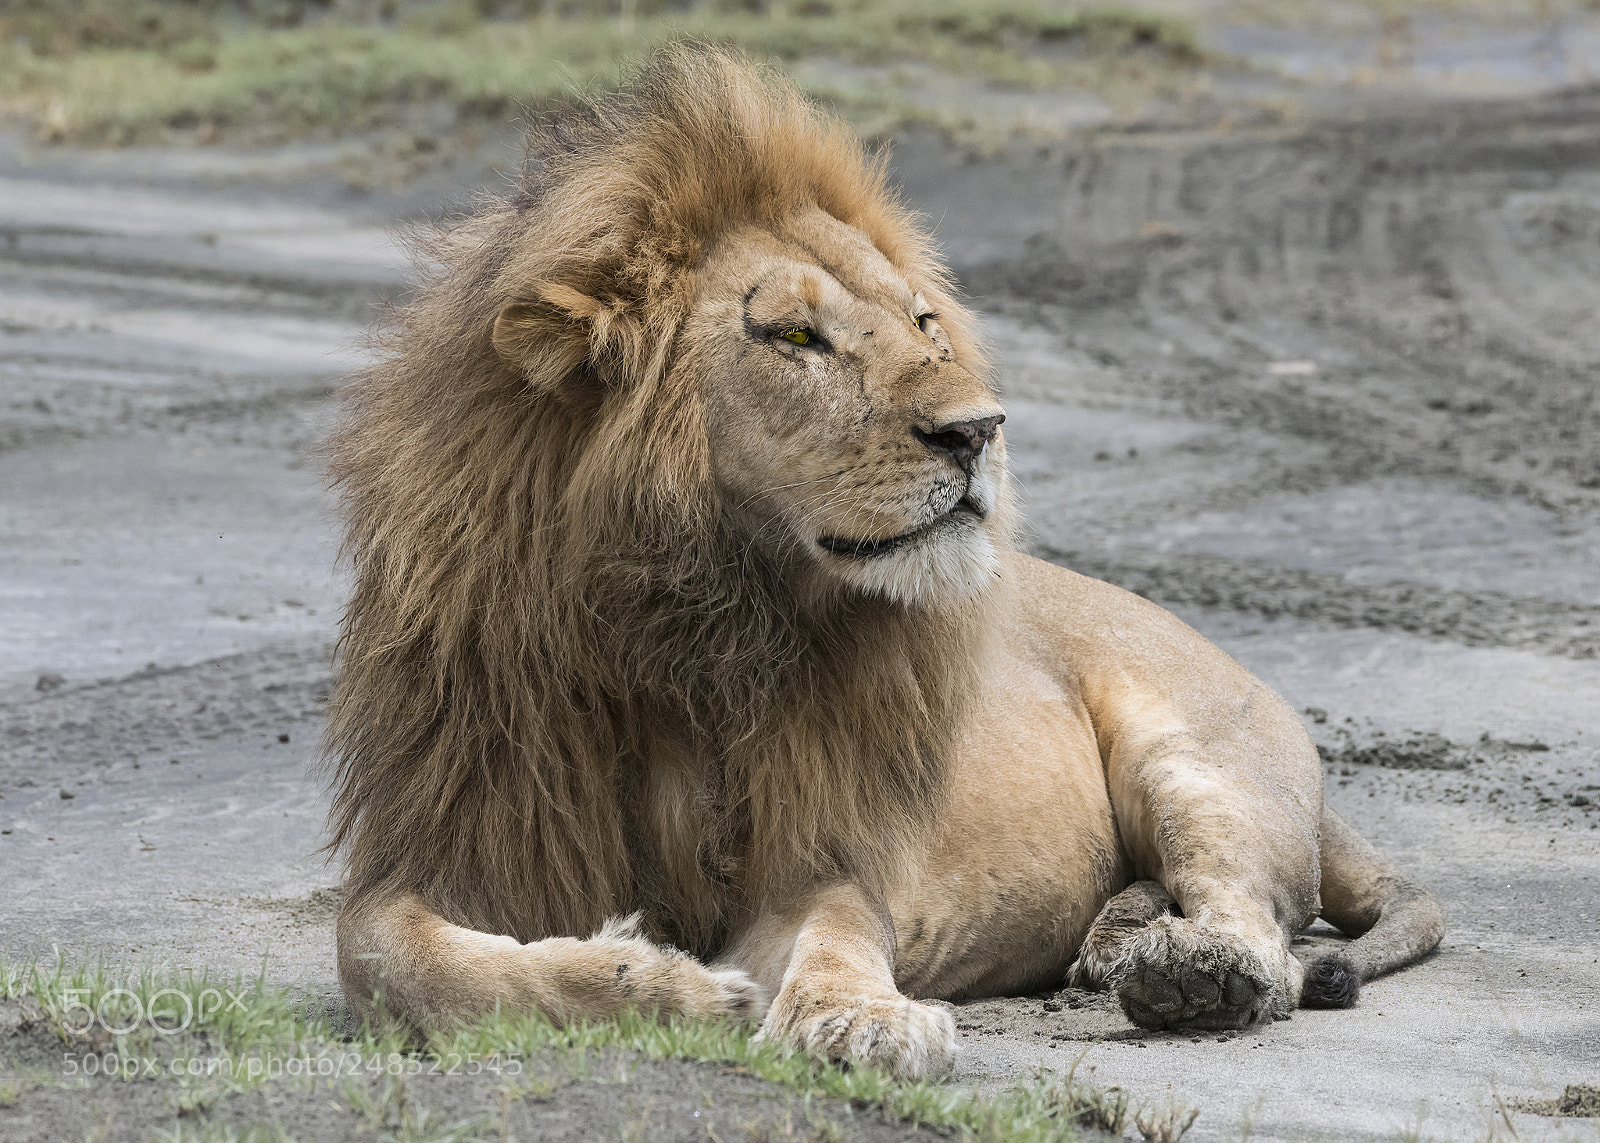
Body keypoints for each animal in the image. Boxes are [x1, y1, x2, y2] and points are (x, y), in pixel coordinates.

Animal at [323, 44, 1445, 1079]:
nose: (979, 430)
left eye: (921, 320)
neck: (693, 624)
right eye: (792, 335)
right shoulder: (455, 837)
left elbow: (835, 931)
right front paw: (659, 986)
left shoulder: (821, 852)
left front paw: (857, 1017)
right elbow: (399, 961)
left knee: (1264, 925)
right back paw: (1119, 939)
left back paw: (1191, 972)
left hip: (1195, 758)